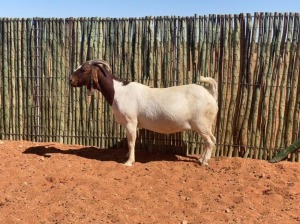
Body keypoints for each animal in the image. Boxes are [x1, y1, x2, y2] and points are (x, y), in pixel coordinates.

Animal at [71, 59, 220, 166]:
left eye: (84, 69)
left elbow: (131, 142)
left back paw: (203, 162)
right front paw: (127, 156)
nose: (70, 80)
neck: (118, 91)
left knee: (211, 140)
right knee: (208, 141)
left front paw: (128, 162)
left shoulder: (131, 121)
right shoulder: (132, 124)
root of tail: (210, 93)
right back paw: (201, 159)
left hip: (201, 123)